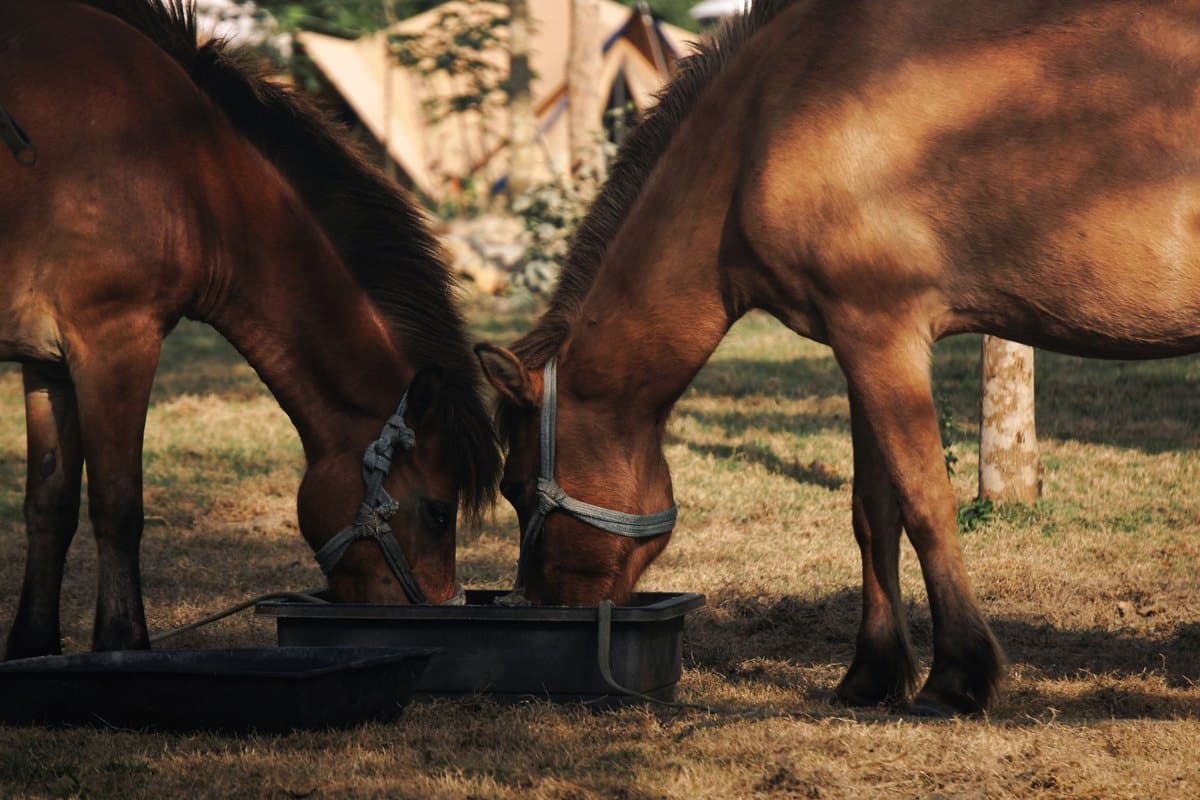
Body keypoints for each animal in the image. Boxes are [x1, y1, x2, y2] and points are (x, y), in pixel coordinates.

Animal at [0, 0, 499, 658]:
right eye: (440, 512)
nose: (438, 611)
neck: (188, 168)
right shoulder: (114, 344)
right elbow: (118, 505)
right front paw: (123, 642)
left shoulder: (48, 364)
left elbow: (48, 507)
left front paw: (31, 646)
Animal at [476, 0, 1200, 715]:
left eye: (516, 488)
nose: (544, 605)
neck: (768, 121)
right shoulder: (857, 348)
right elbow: (872, 513)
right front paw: (872, 673)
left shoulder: (882, 334)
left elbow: (925, 503)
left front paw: (957, 676)